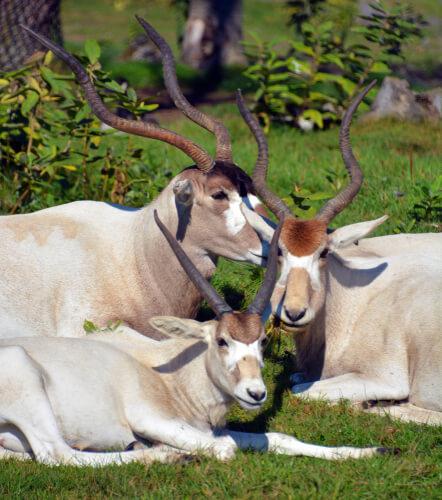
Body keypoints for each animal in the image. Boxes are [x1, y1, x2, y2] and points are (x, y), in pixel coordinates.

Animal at [0, 211, 394, 464]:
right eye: (222, 341)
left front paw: (372, 451)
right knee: (57, 454)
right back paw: (164, 455)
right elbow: (226, 449)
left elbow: (281, 438)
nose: (256, 393)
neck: (172, 373)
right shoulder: (150, 417)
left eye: (262, 342)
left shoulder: (208, 428)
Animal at [238, 83, 442, 426]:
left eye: (323, 253)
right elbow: (296, 378)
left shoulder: (385, 376)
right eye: (278, 251)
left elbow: (301, 388)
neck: (352, 304)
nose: (293, 313)